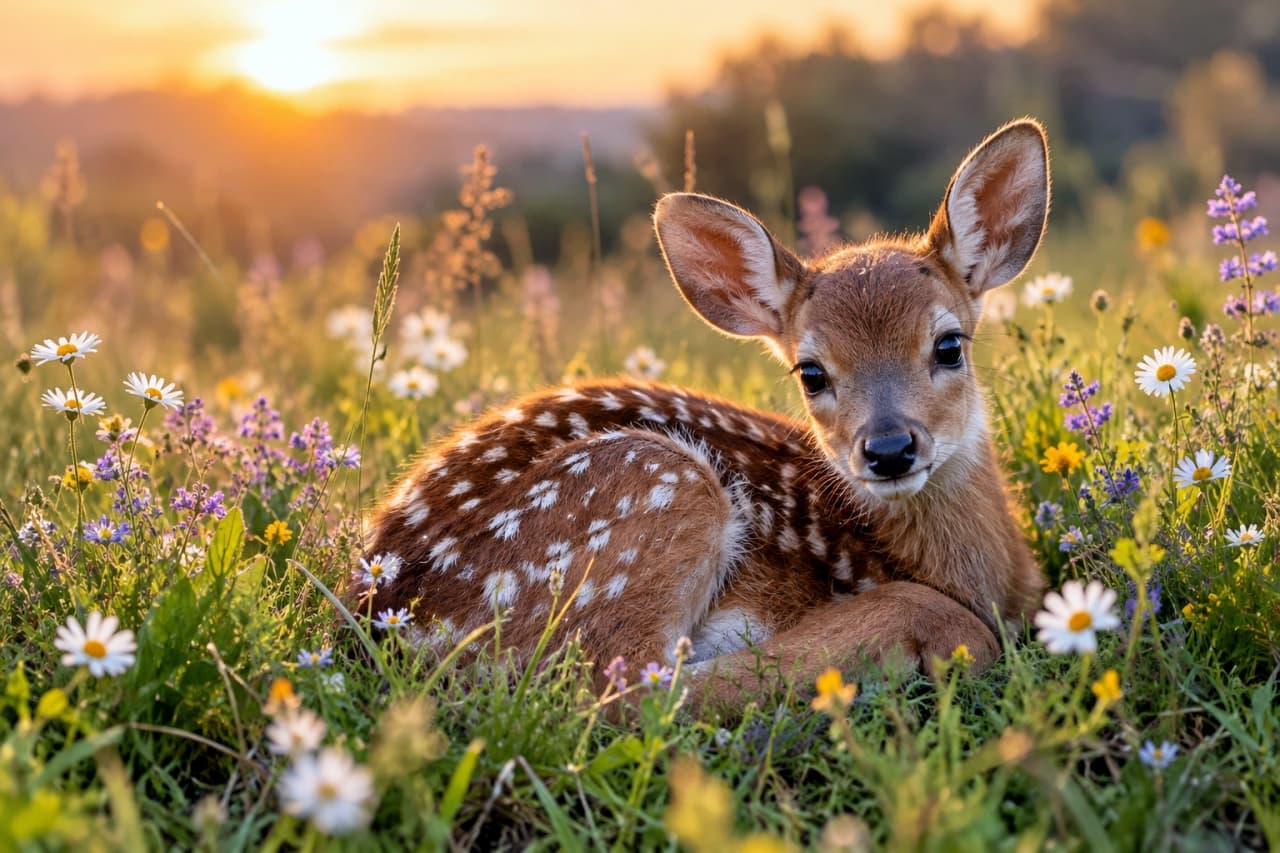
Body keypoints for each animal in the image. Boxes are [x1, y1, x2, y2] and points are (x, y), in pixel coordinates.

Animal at [359, 119, 1048, 709]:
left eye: (949, 345)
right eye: (811, 373)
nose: (888, 449)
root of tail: (376, 620)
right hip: (656, 479)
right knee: (622, 693)